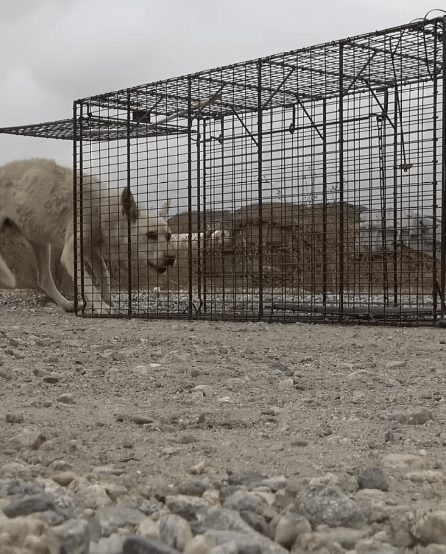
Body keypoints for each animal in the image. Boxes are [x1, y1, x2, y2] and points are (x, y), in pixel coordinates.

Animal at [0, 159, 175, 313]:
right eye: (151, 234)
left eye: (168, 236)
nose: (172, 258)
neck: (102, 209)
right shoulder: (71, 255)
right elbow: (89, 284)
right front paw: (102, 307)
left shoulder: (92, 251)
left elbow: (104, 276)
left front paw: (108, 301)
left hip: (40, 242)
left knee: (44, 279)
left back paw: (67, 305)